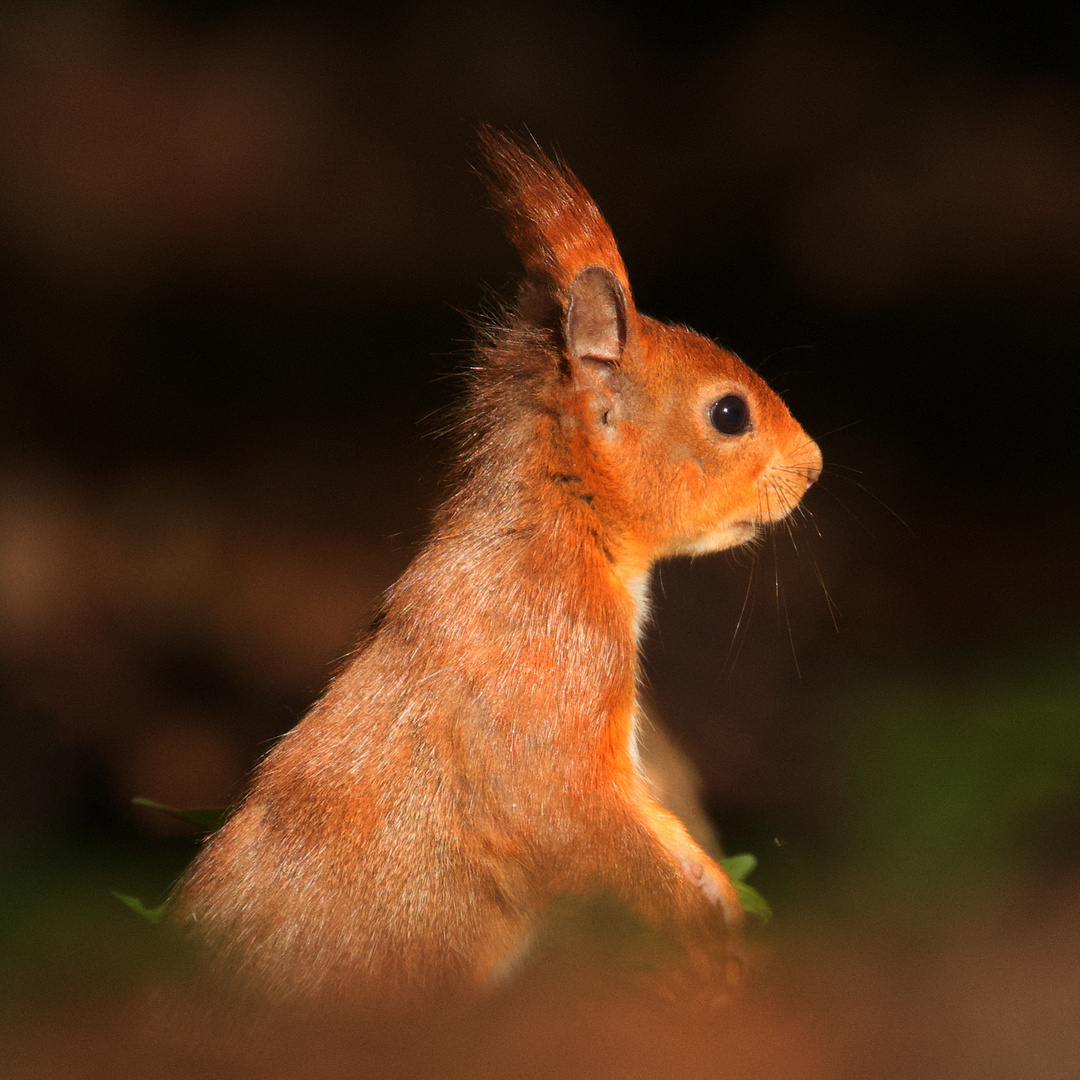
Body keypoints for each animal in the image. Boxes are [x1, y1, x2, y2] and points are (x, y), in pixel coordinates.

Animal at [172, 128, 820, 1002]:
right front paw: (697, 921)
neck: (562, 532)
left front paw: (717, 890)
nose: (814, 466)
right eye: (729, 414)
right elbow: (572, 820)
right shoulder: (551, 676)